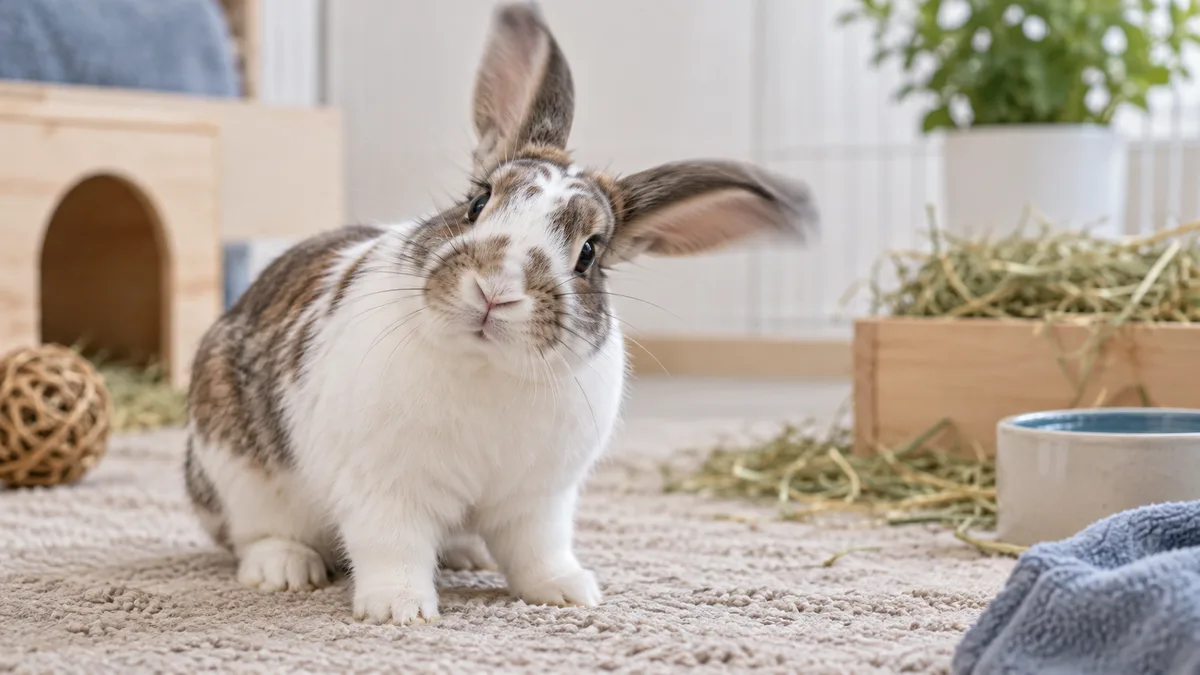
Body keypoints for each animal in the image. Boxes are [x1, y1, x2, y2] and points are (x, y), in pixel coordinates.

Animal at [183, 0, 818, 625]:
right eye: (477, 201)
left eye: (589, 253)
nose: (496, 289)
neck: (486, 363)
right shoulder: (387, 489)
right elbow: (393, 547)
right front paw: (399, 610)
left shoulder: (539, 500)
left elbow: (538, 550)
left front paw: (568, 592)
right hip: (238, 469)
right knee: (254, 532)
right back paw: (286, 569)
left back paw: (466, 554)